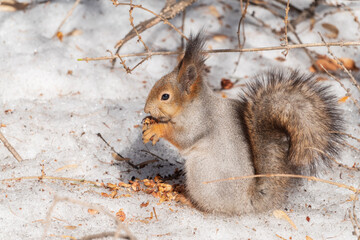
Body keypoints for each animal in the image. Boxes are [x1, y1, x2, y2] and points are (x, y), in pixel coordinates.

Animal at [141, 32, 344, 215]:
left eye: (165, 96)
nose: (146, 108)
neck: (193, 104)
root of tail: (245, 202)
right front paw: (149, 122)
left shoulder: (199, 122)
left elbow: (183, 137)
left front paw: (157, 128)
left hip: (201, 173)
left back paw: (187, 198)